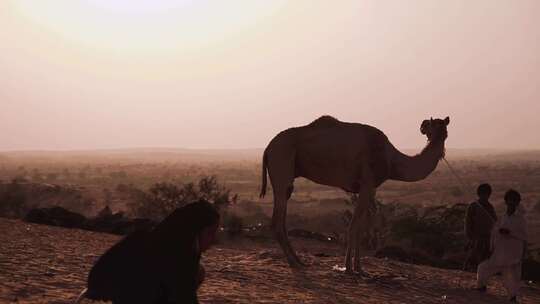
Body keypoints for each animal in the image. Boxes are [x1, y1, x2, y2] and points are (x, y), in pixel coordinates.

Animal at [260, 116, 450, 274]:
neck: (392, 160)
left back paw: (298, 261)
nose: (423, 125)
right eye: (433, 123)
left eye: (443, 126)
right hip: (282, 162)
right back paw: (294, 262)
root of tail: (267, 148)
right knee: (278, 220)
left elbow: (361, 226)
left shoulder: (368, 188)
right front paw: (349, 268)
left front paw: (358, 268)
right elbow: (354, 226)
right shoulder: (367, 184)